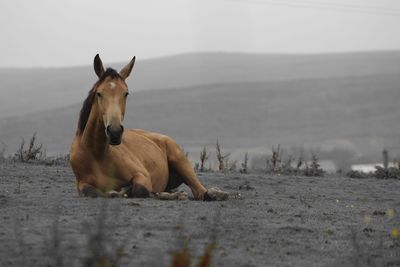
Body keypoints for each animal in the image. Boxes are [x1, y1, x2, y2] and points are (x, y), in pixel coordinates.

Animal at [69, 54, 228, 201]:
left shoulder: (142, 175)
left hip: (181, 161)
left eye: (126, 93)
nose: (114, 132)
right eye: (99, 93)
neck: (97, 154)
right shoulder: (81, 184)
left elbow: (138, 189)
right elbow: (92, 191)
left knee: (201, 192)